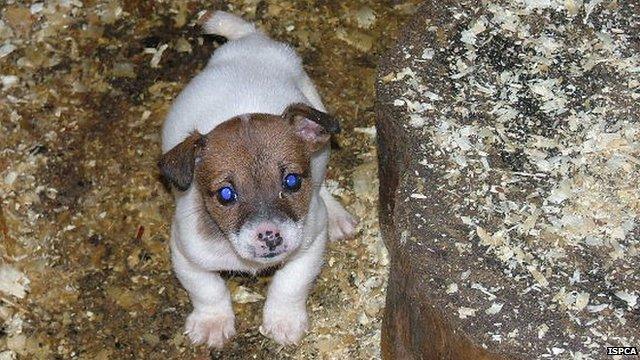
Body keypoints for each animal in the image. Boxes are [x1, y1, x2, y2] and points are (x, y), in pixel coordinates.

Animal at [159, 11, 358, 348]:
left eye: (292, 182)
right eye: (225, 195)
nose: (270, 237)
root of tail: (250, 40)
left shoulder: (309, 245)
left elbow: (289, 284)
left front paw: (283, 320)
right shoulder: (185, 254)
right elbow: (207, 289)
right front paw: (213, 322)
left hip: (320, 128)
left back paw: (336, 215)